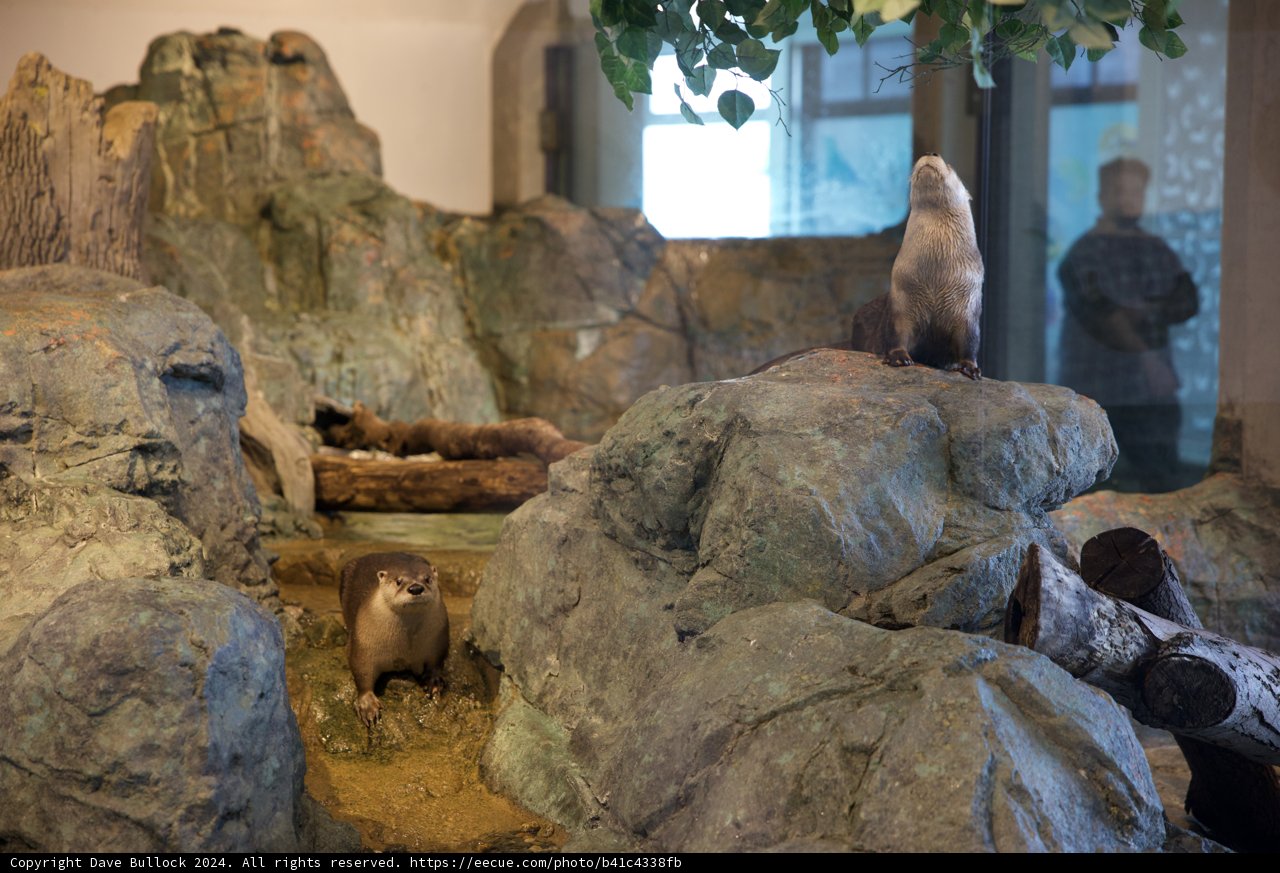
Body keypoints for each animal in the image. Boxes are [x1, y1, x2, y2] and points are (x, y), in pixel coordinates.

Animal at [339, 552, 449, 728]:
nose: (416, 588)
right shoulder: (362, 645)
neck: (404, 647)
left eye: (427, 578)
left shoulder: (438, 641)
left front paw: (433, 681)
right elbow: (361, 672)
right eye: (398, 581)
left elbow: (436, 663)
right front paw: (367, 704)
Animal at [850, 154, 984, 380]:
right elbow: (897, 333)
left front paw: (969, 367)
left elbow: (970, 340)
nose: (933, 153)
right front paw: (898, 357)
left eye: (950, 165)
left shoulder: (967, 303)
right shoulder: (902, 298)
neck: (936, 277)